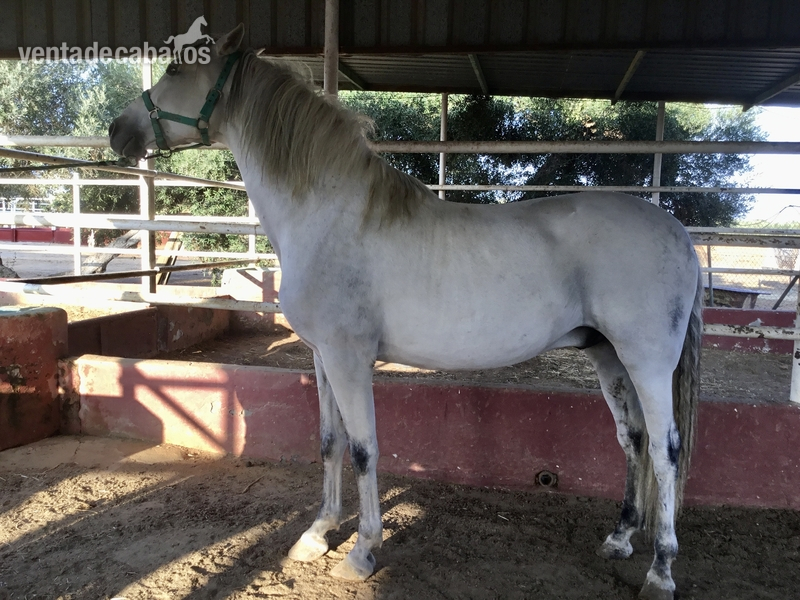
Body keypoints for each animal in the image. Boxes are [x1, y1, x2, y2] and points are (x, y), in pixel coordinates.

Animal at [109, 24, 702, 600]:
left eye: (175, 69)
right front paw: (316, 534)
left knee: (667, 450)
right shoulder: (321, 357)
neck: (328, 216)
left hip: (647, 361)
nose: (118, 131)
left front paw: (360, 552)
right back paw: (620, 538)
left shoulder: (349, 360)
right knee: (634, 439)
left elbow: (365, 449)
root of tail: (679, 234)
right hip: (608, 356)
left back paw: (661, 571)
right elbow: (329, 443)